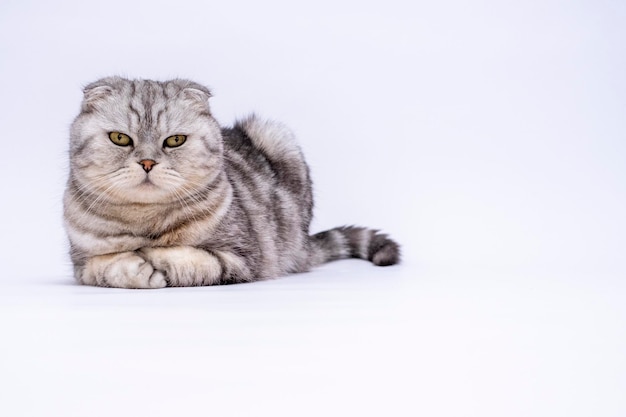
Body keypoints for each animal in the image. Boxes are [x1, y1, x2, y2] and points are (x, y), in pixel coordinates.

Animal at [63, 76, 400, 288]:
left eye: (175, 140)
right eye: (120, 138)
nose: (147, 163)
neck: (145, 222)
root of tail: (304, 245)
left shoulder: (244, 258)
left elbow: (192, 258)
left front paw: (150, 257)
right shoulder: (81, 265)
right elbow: (105, 265)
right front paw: (133, 266)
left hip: (277, 136)